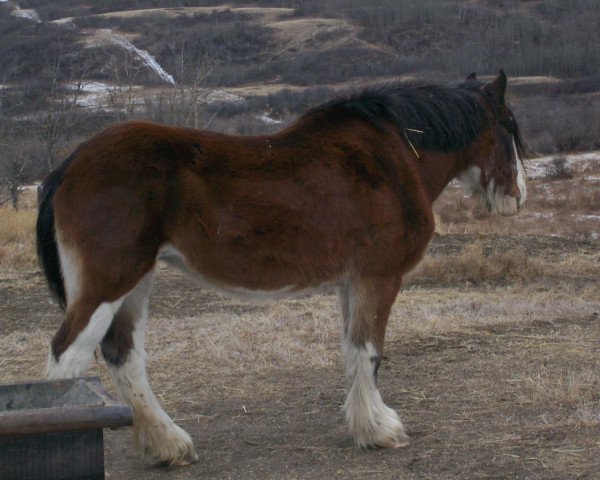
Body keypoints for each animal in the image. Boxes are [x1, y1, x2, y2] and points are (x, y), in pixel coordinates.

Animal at [36, 71, 524, 464]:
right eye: (508, 126)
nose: (518, 197)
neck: (394, 155)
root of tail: (68, 167)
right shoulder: (379, 277)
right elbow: (370, 352)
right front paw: (380, 431)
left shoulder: (351, 282)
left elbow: (353, 350)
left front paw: (365, 424)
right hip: (109, 283)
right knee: (66, 360)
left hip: (136, 282)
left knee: (125, 358)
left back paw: (169, 446)